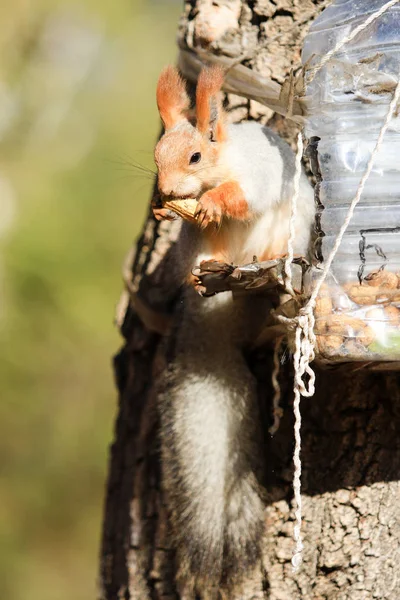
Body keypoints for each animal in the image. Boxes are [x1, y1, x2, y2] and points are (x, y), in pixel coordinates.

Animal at [152, 65, 314, 596]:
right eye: (155, 155)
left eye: (195, 156)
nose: (165, 192)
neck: (222, 163)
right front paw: (165, 208)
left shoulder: (259, 176)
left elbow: (240, 198)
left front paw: (215, 200)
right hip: (200, 246)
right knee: (204, 255)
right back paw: (204, 272)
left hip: (288, 227)